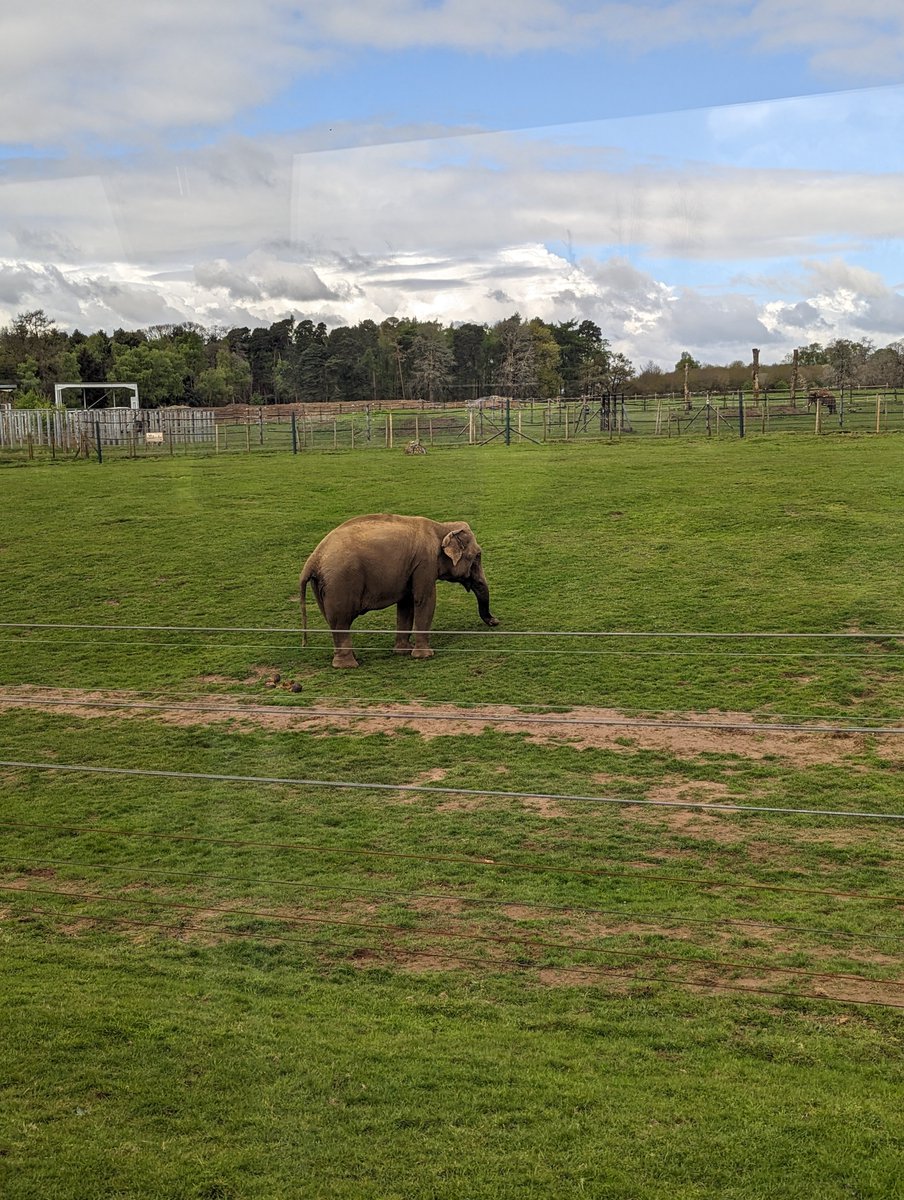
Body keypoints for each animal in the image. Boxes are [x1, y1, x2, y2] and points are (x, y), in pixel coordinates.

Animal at [300, 513, 498, 668]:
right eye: (477, 556)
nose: (495, 622)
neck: (441, 527)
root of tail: (313, 559)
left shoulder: (411, 568)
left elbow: (406, 604)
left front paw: (403, 651)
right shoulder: (425, 563)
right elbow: (424, 600)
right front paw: (424, 656)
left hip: (323, 586)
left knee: (332, 620)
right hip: (341, 582)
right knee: (341, 620)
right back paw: (348, 665)